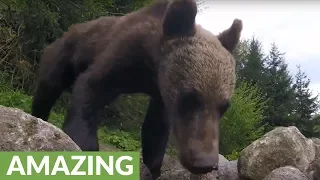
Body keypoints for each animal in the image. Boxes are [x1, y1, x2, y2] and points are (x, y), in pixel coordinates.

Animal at [31, 0, 242, 179]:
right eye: (189, 98)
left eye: (224, 106)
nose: (204, 163)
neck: (150, 68)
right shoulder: (122, 56)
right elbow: (90, 91)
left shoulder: (160, 93)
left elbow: (155, 129)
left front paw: (152, 168)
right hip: (65, 54)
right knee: (47, 89)